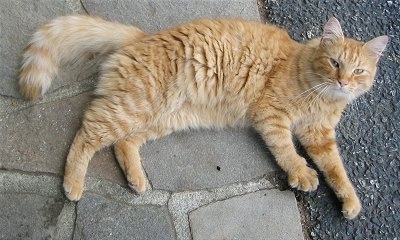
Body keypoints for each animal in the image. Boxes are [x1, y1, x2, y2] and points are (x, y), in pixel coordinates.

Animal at [18, 15, 388, 219]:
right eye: (334, 63)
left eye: (358, 70)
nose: (343, 82)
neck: (322, 97)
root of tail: (143, 35)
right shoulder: (272, 116)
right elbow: (287, 151)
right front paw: (301, 174)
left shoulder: (319, 136)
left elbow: (336, 170)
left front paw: (350, 201)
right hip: (133, 108)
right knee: (86, 135)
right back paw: (73, 185)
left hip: (161, 118)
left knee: (123, 143)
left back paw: (138, 181)